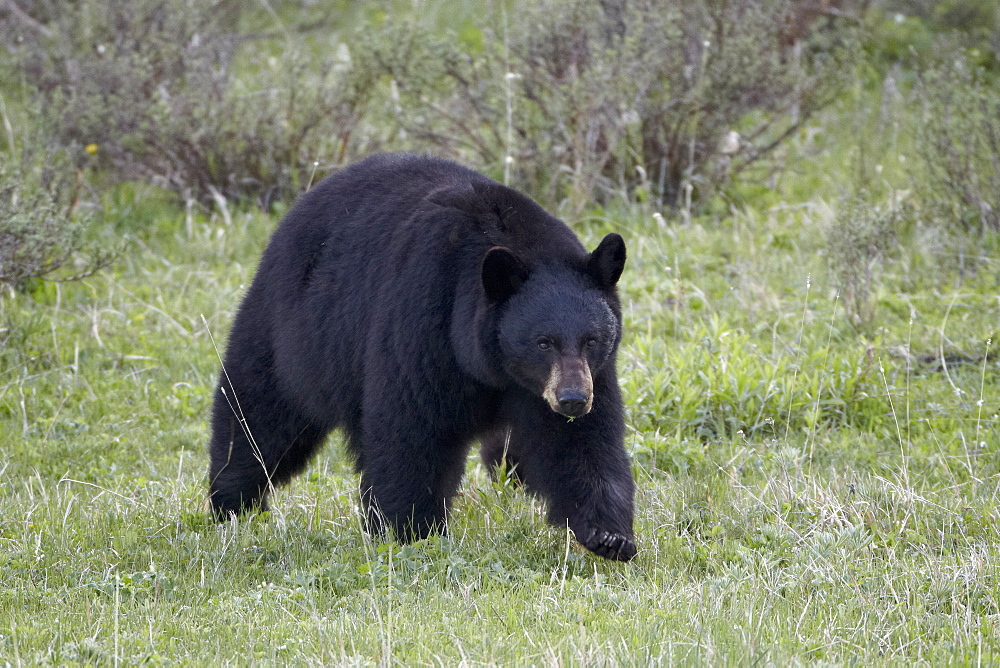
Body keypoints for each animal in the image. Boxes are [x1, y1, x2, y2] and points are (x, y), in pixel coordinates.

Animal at [207, 151, 636, 560]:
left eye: (592, 340)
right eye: (543, 342)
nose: (572, 400)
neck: (492, 366)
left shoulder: (578, 378)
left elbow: (580, 443)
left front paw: (609, 536)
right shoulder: (425, 320)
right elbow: (412, 430)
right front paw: (412, 533)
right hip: (295, 329)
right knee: (258, 414)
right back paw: (231, 503)